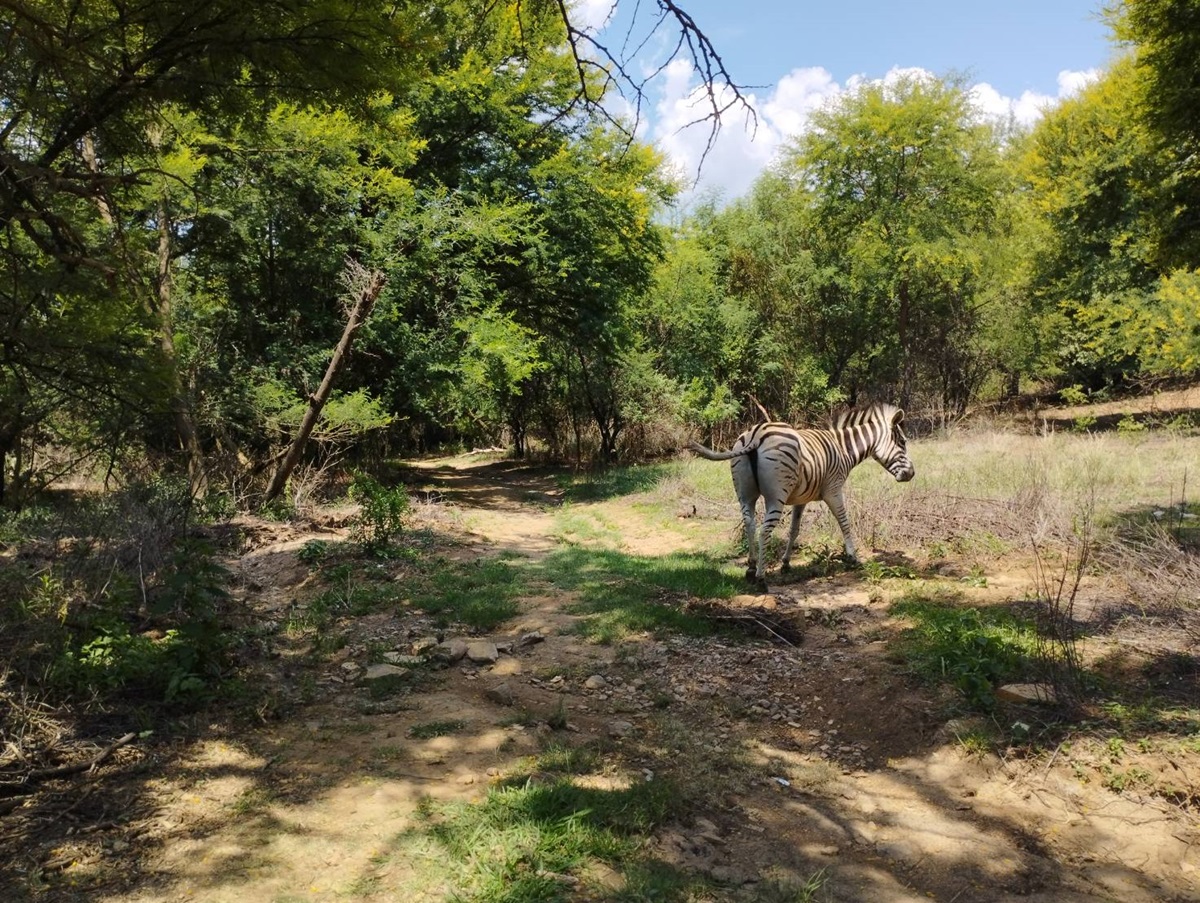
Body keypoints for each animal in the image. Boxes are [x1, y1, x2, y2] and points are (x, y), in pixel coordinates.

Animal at [691, 403, 912, 585]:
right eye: (902, 442)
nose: (911, 474)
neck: (843, 449)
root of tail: (756, 435)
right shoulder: (833, 490)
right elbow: (844, 522)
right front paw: (853, 557)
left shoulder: (801, 499)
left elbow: (794, 530)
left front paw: (786, 563)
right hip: (776, 497)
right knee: (764, 530)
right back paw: (761, 579)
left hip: (745, 494)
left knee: (749, 524)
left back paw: (751, 568)